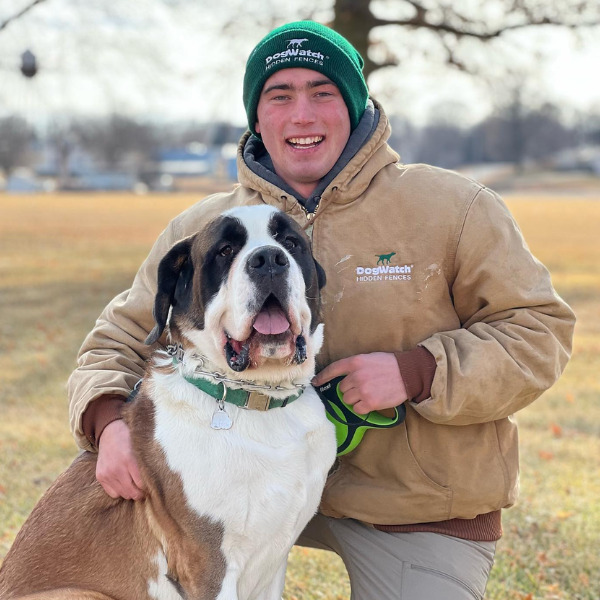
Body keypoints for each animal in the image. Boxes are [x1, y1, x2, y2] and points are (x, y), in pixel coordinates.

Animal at [0, 205, 338, 600]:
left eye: (290, 242)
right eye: (225, 251)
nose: (269, 259)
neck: (256, 398)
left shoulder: (274, 560)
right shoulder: (209, 565)